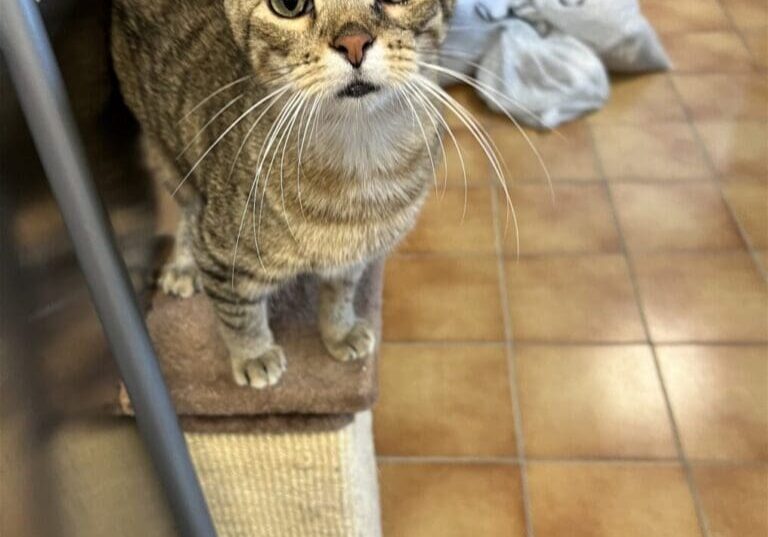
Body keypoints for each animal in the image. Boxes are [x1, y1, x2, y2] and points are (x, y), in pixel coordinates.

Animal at [112, 0, 456, 388]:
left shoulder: (356, 255)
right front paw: (254, 354)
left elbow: (340, 294)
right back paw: (184, 265)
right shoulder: (222, 257)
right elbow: (238, 313)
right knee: (188, 210)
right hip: (168, 154)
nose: (353, 42)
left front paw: (340, 331)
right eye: (289, 6)